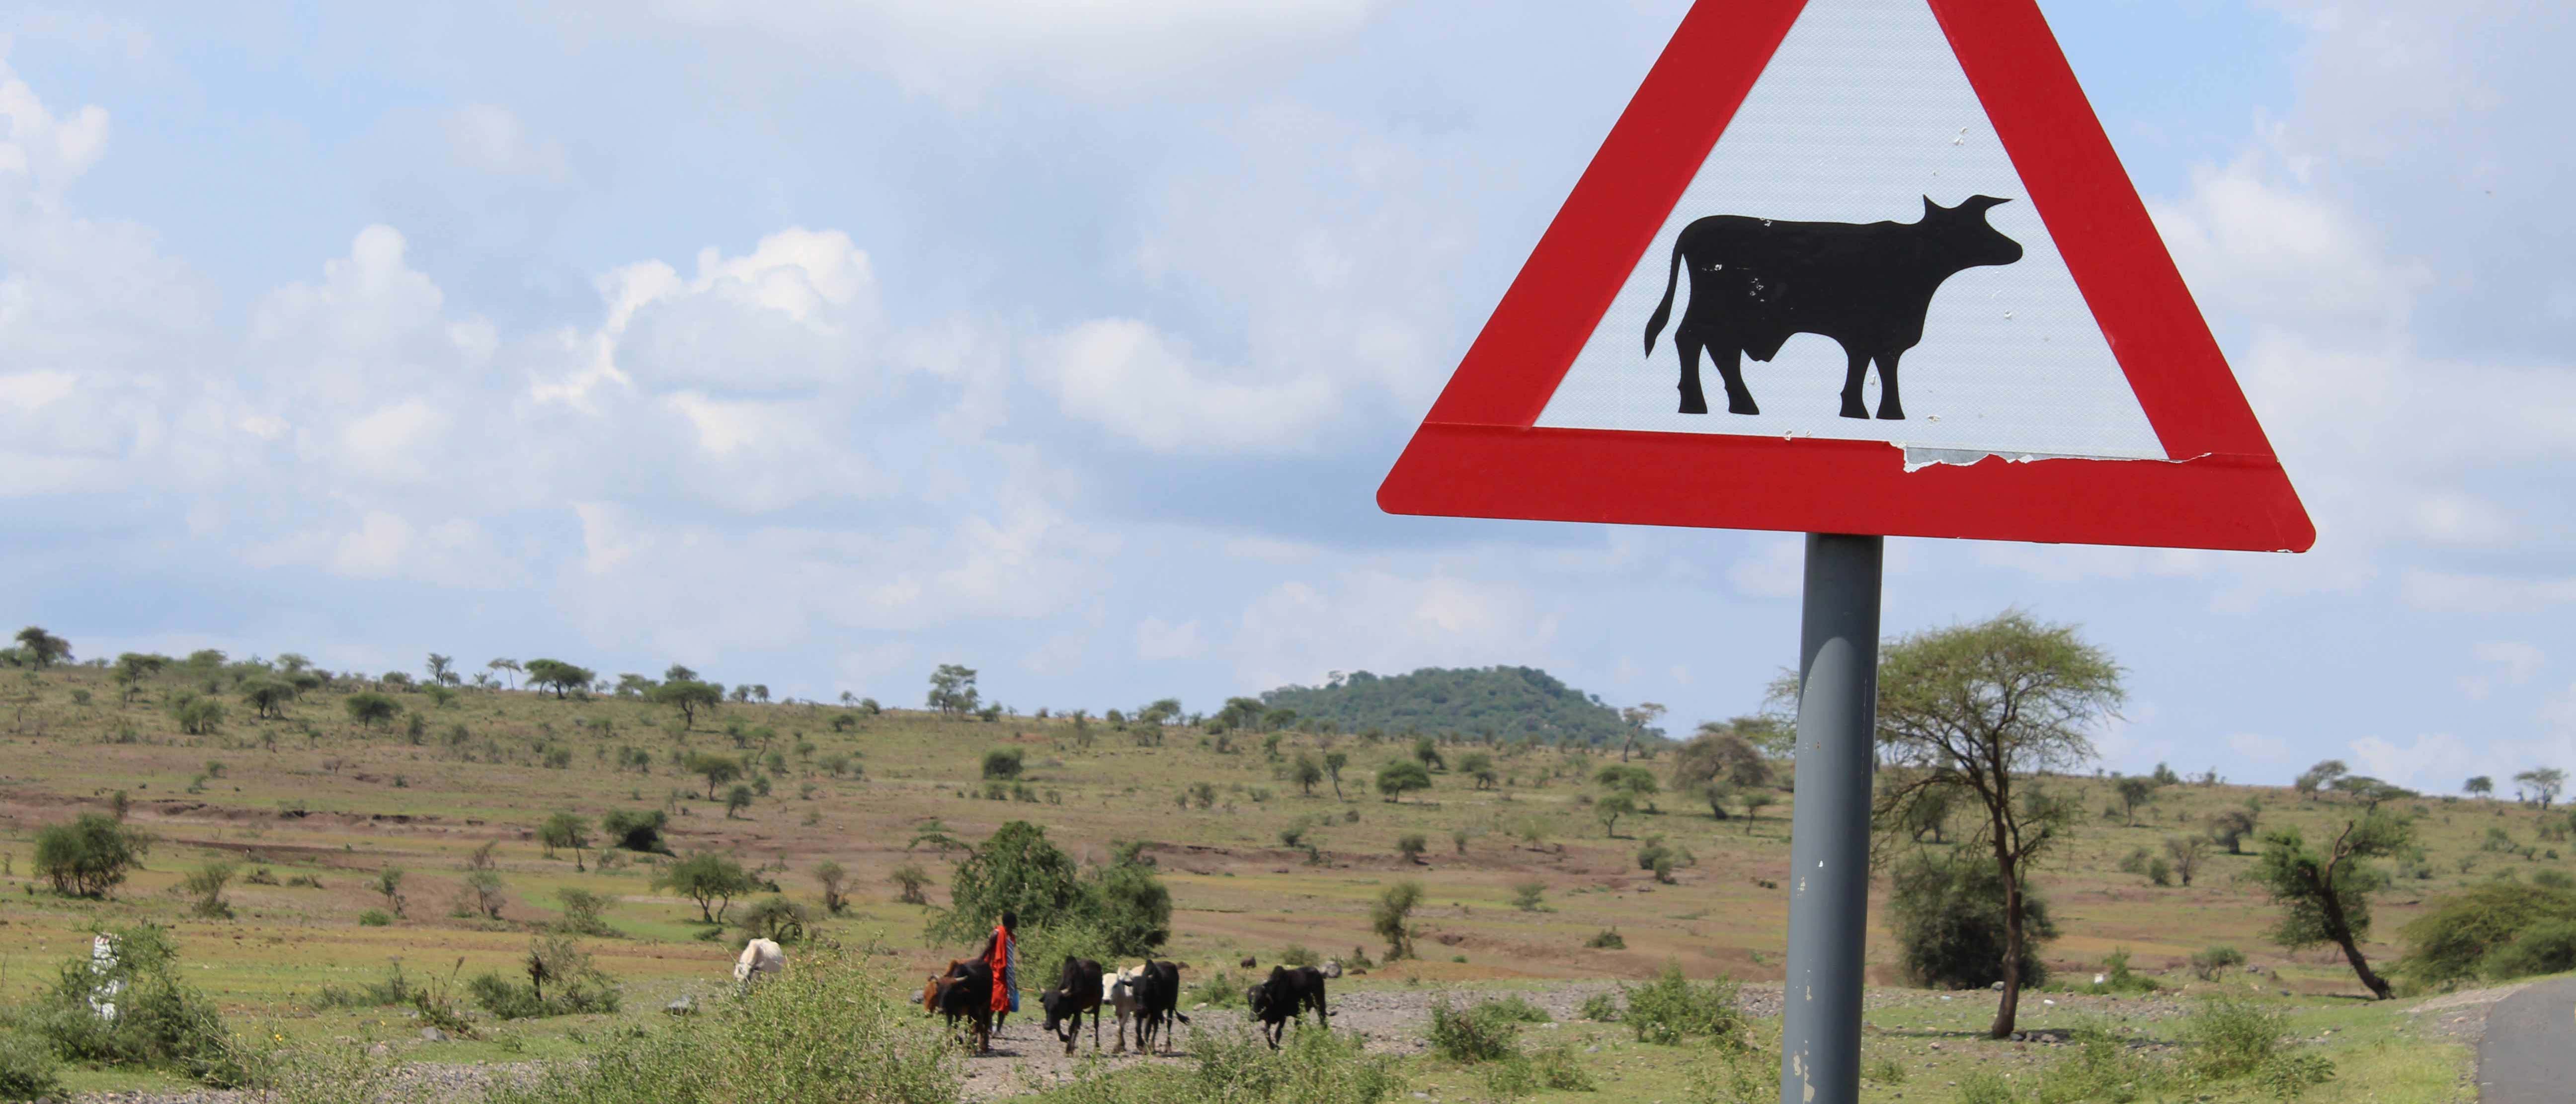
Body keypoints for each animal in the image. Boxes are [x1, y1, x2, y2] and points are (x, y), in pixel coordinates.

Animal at [1037, 956, 1105, 1055]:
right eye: (1045, 1006)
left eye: (1057, 1006)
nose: (1047, 1026)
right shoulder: (1059, 1016)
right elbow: (1058, 1027)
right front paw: (1066, 1039)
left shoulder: (1077, 1011)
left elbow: (1072, 1028)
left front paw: (1069, 1049)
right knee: (1079, 1026)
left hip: (1097, 1004)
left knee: (1095, 1025)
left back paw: (1097, 1047)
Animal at [1245, 965, 1331, 1049]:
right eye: (1249, 1001)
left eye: (1260, 999)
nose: (1252, 1018)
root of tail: (1318, 973)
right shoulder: (1268, 1019)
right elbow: (1266, 1032)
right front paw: (1273, 1046)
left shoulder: (1283, 1017)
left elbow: (1278, 1034)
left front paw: (1276, 1048)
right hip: (1300, 1013)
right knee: (1299, 1027)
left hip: (1320, 1004)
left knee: (1323, 1021)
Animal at [1643, 195, 2025, 421]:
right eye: (1972, 228)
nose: (2018, 249)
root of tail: (1695, 227)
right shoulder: (1866, 332)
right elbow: (1867, 368)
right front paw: (1865, 412)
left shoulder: (1880, 335)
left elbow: (1878, 367)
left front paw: (1881, 413)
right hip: (1711, 308)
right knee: (1690, 339)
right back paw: (1695, 405)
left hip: (1730, 318)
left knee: (1722, 351)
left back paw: (1743, 406)